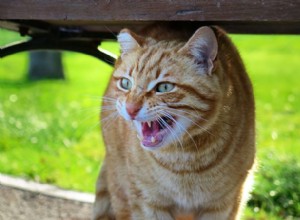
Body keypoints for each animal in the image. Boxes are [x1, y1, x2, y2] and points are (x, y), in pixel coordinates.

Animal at [94, 24, 255, 220]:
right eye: (126, 84)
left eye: (164, 87)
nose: (131, 108)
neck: (183, 163)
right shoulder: (147, 204)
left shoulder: (224, 205)